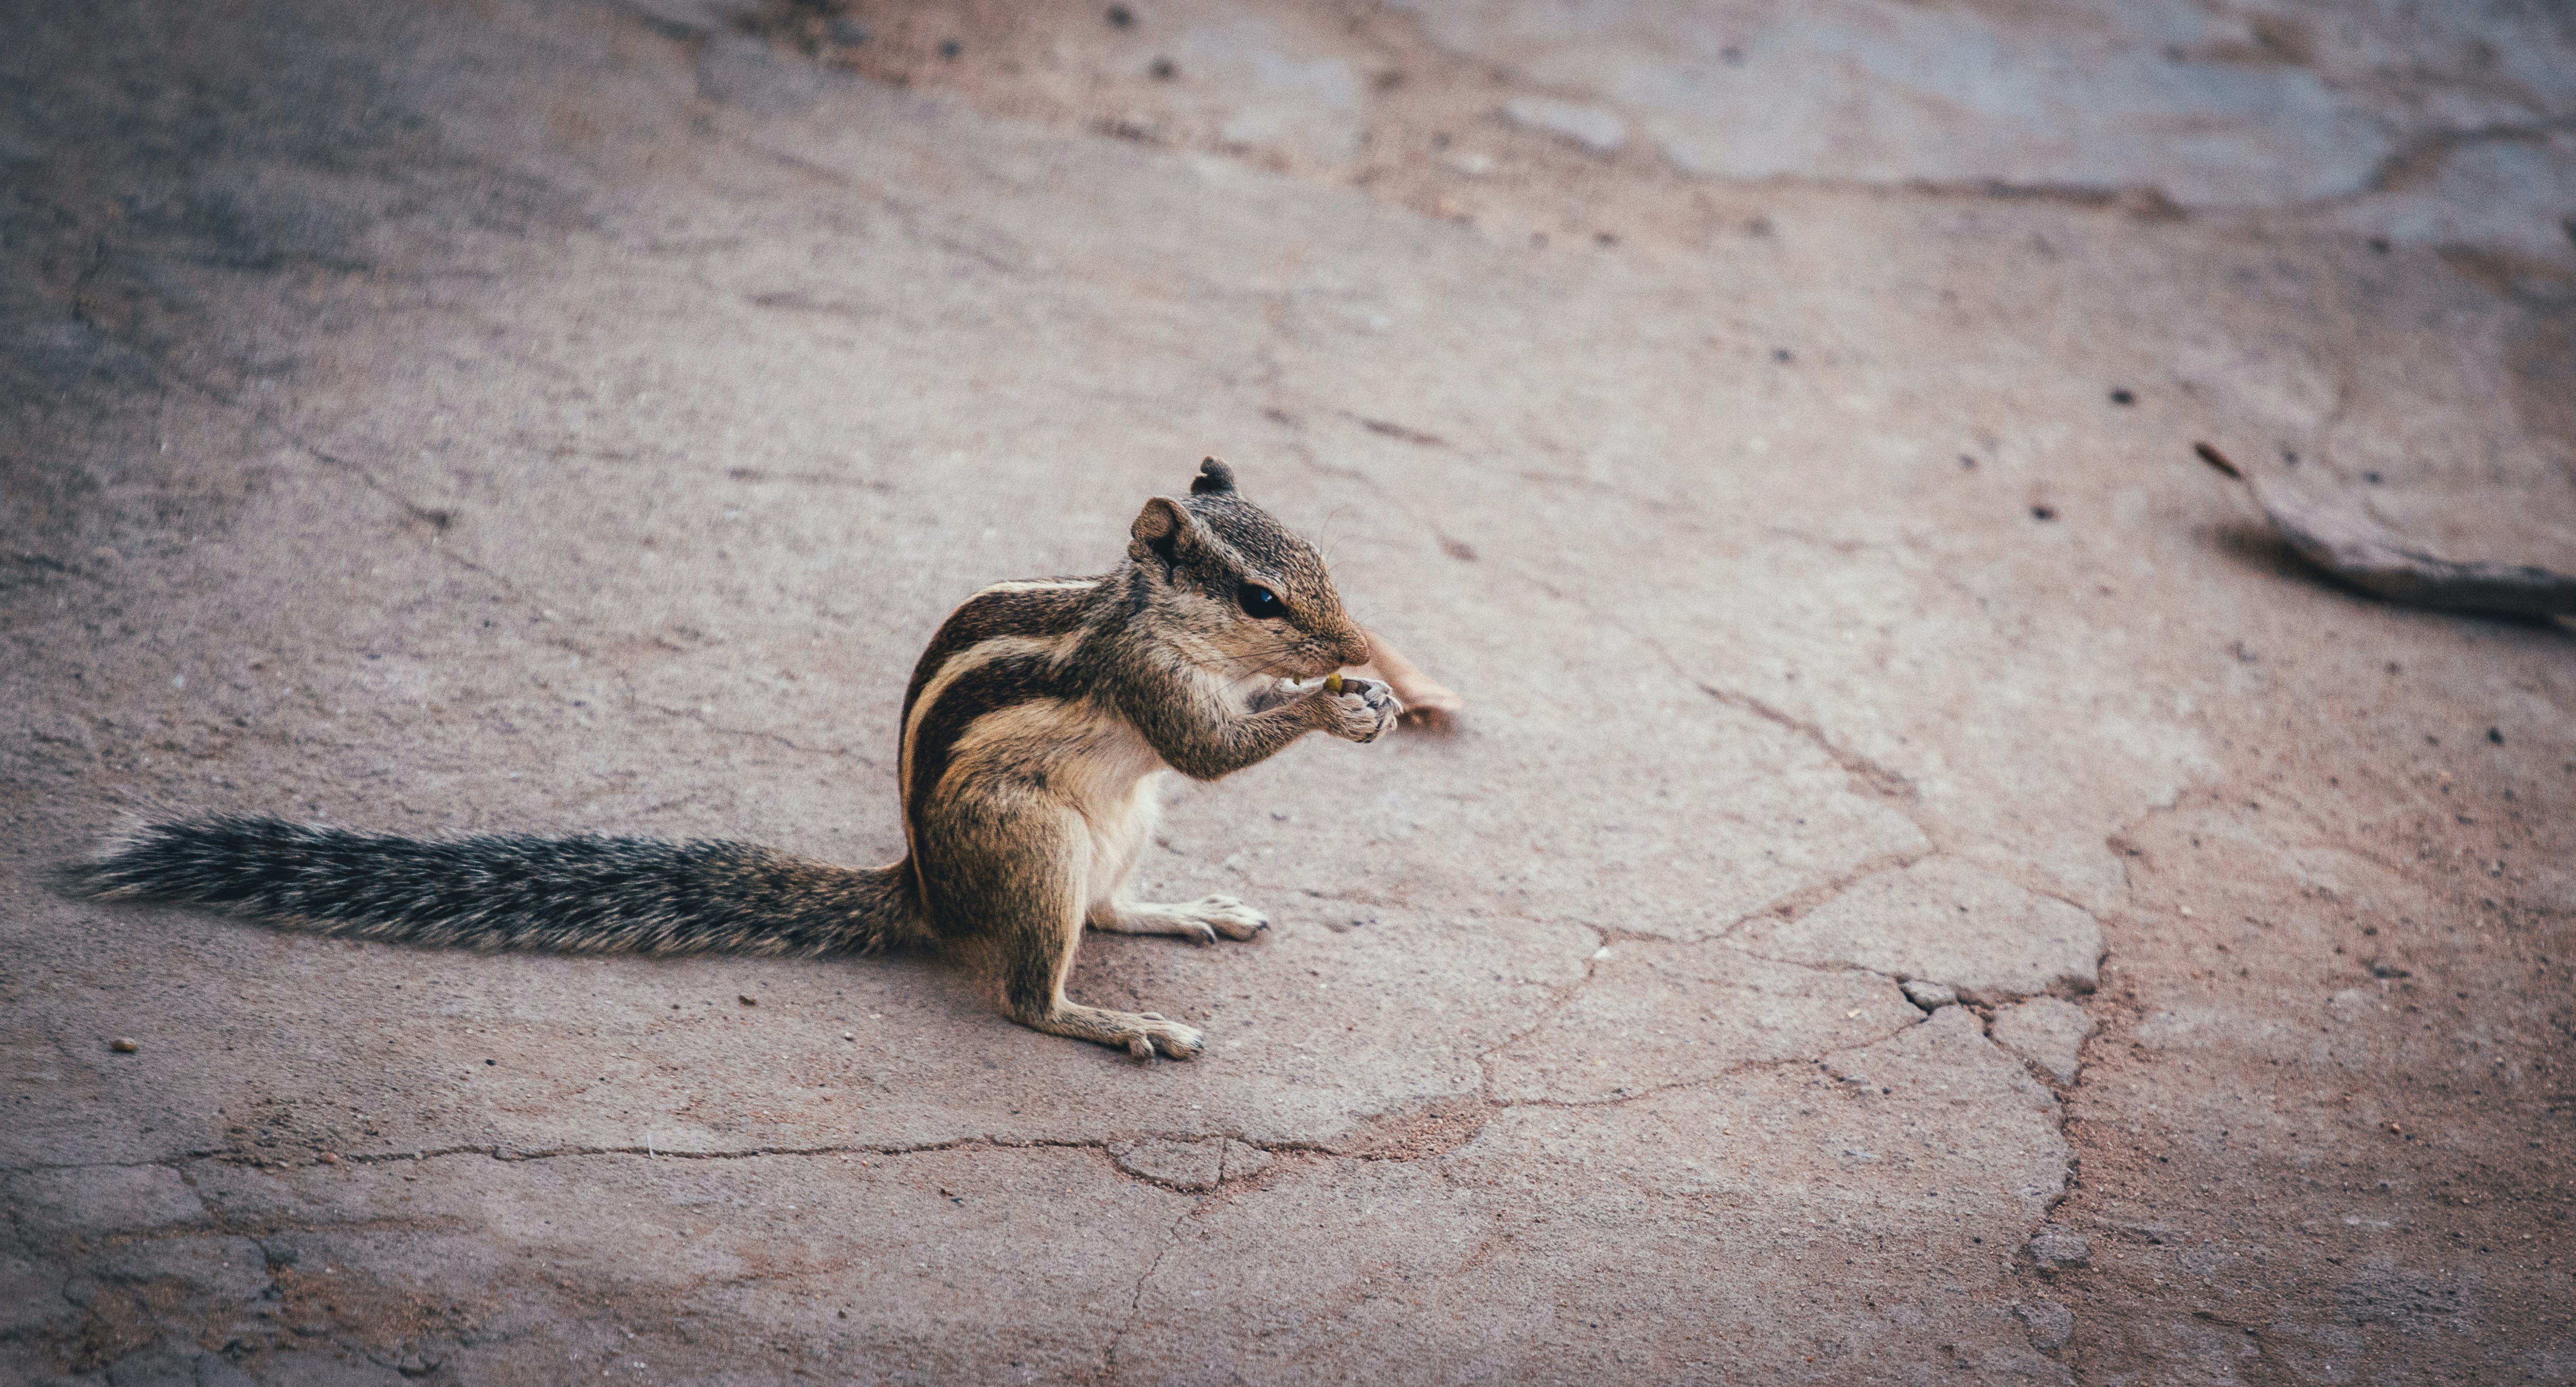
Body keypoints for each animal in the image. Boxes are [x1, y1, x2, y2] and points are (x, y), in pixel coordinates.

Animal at [73, 459, 1401, 1061]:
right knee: (1028, 993)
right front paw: (1331, 706)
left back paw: (1186, 911)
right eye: (1261, 596)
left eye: (1323, 564)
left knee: (1111, 909)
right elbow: (1213, 744)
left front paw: (1369, 694)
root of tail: (925, 890)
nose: (1354, 644)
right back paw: (1117, 1024)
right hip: (1035, 837)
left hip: (1124, 824)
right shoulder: (1142, 681)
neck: (1146, 610)